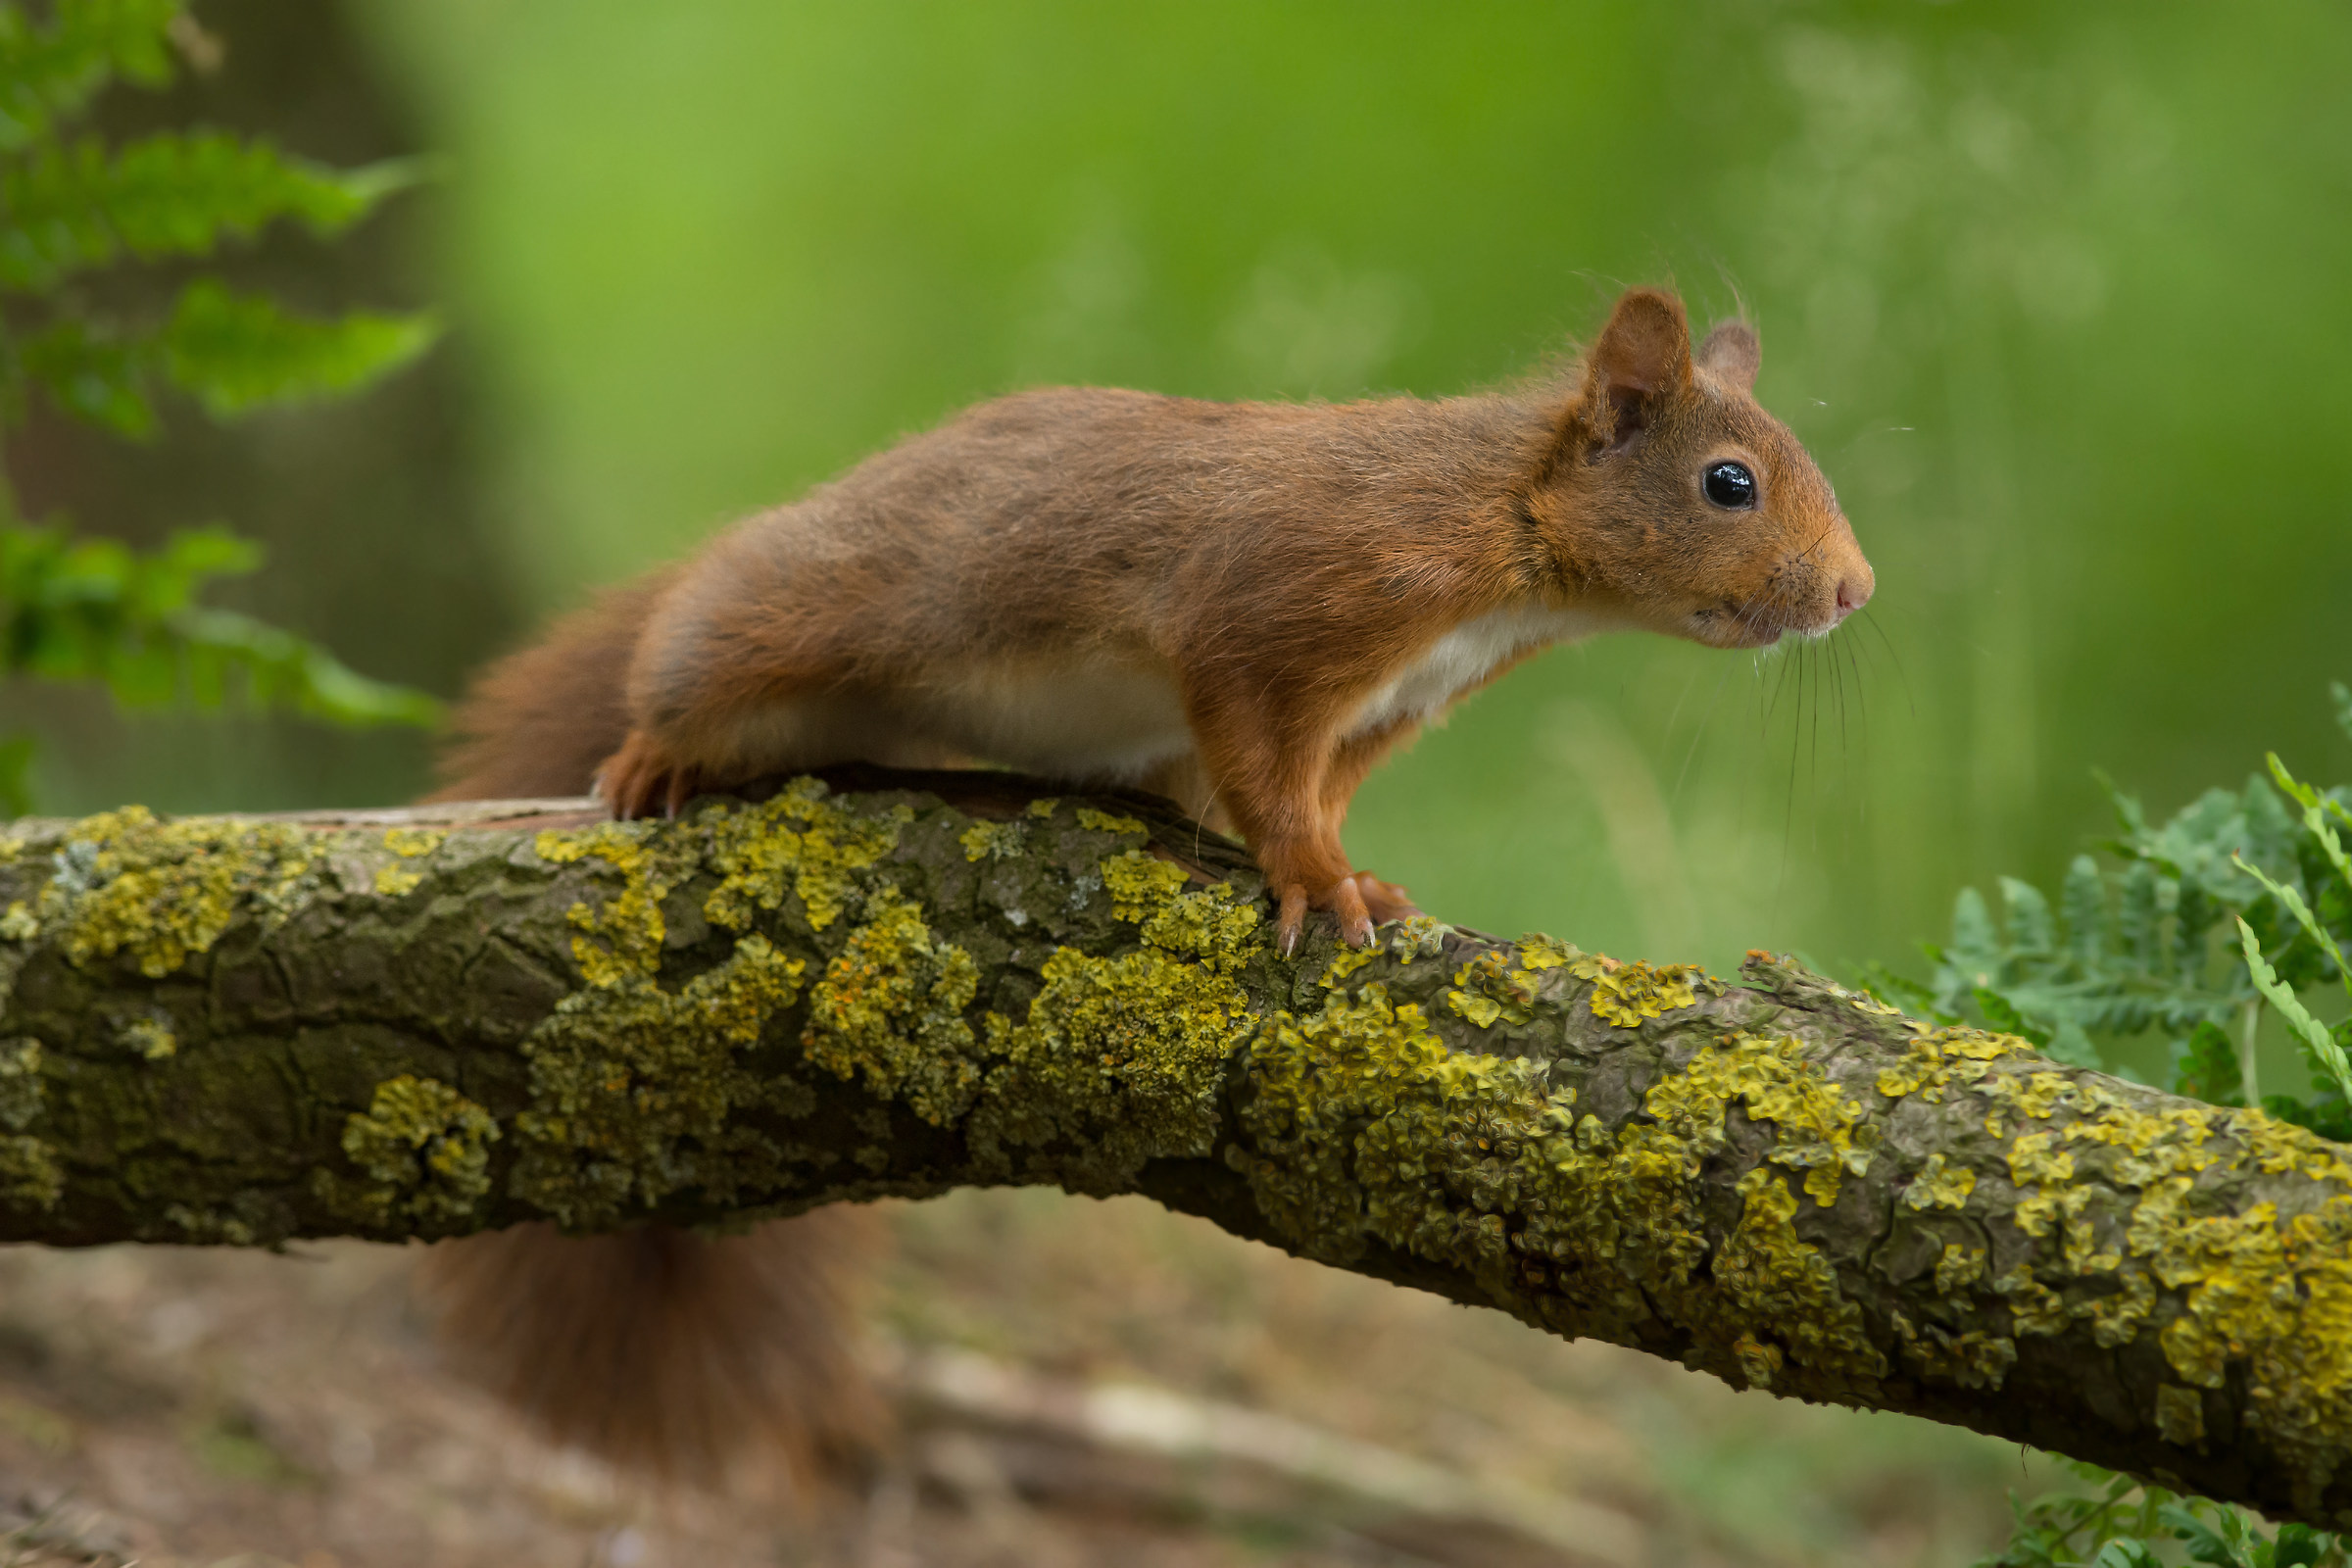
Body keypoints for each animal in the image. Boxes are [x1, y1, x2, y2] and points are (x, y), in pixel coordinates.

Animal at [419, 285, 1872, 1481]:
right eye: (1729, 483)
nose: (1857, 593)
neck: (1502, 546)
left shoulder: (1384, 709)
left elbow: (1310, 791)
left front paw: (1362, 872)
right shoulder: (1273, 611)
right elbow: (1263, 767)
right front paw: (1317, 884)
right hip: (795, 618)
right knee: (689, 655)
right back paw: (651, 751)